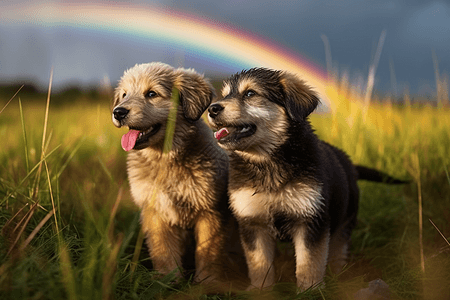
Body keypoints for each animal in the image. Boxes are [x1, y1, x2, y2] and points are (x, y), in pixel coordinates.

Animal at [209, 67, 402, 290]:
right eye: (224, 95)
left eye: (250, 93)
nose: (212, 109)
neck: (268, 164)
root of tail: (350, 164)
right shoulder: (253, 221)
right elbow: (259, 262)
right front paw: (261, 290)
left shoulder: (311, 219)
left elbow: (309, 262)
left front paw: (310, 290)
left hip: (345, 219)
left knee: (338, 250)